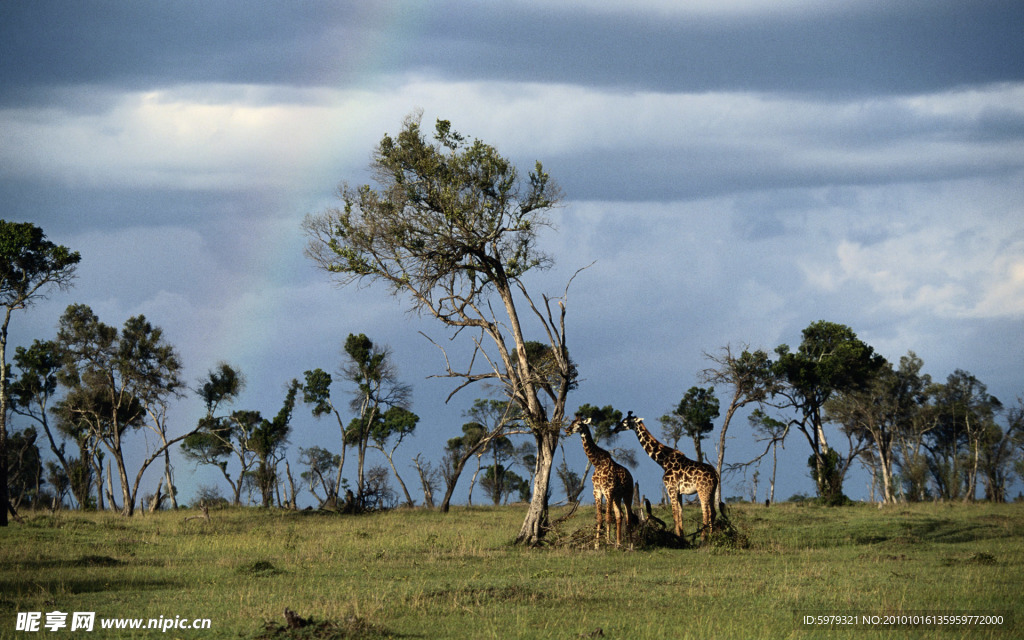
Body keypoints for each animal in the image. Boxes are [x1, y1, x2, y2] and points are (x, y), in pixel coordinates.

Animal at [614, 409, 720, 540]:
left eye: (625, 421)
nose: (615, 429)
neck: (663, 461)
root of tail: (715, 474)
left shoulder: (671, 488)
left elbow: (675, 513)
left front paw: (677, 536)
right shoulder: (679, 492)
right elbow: (680, 513)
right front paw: (681, 536)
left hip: (702, 490)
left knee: (706, 512)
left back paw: (703, 538)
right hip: (712, 490)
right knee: (713, 512)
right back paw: (711, 536)